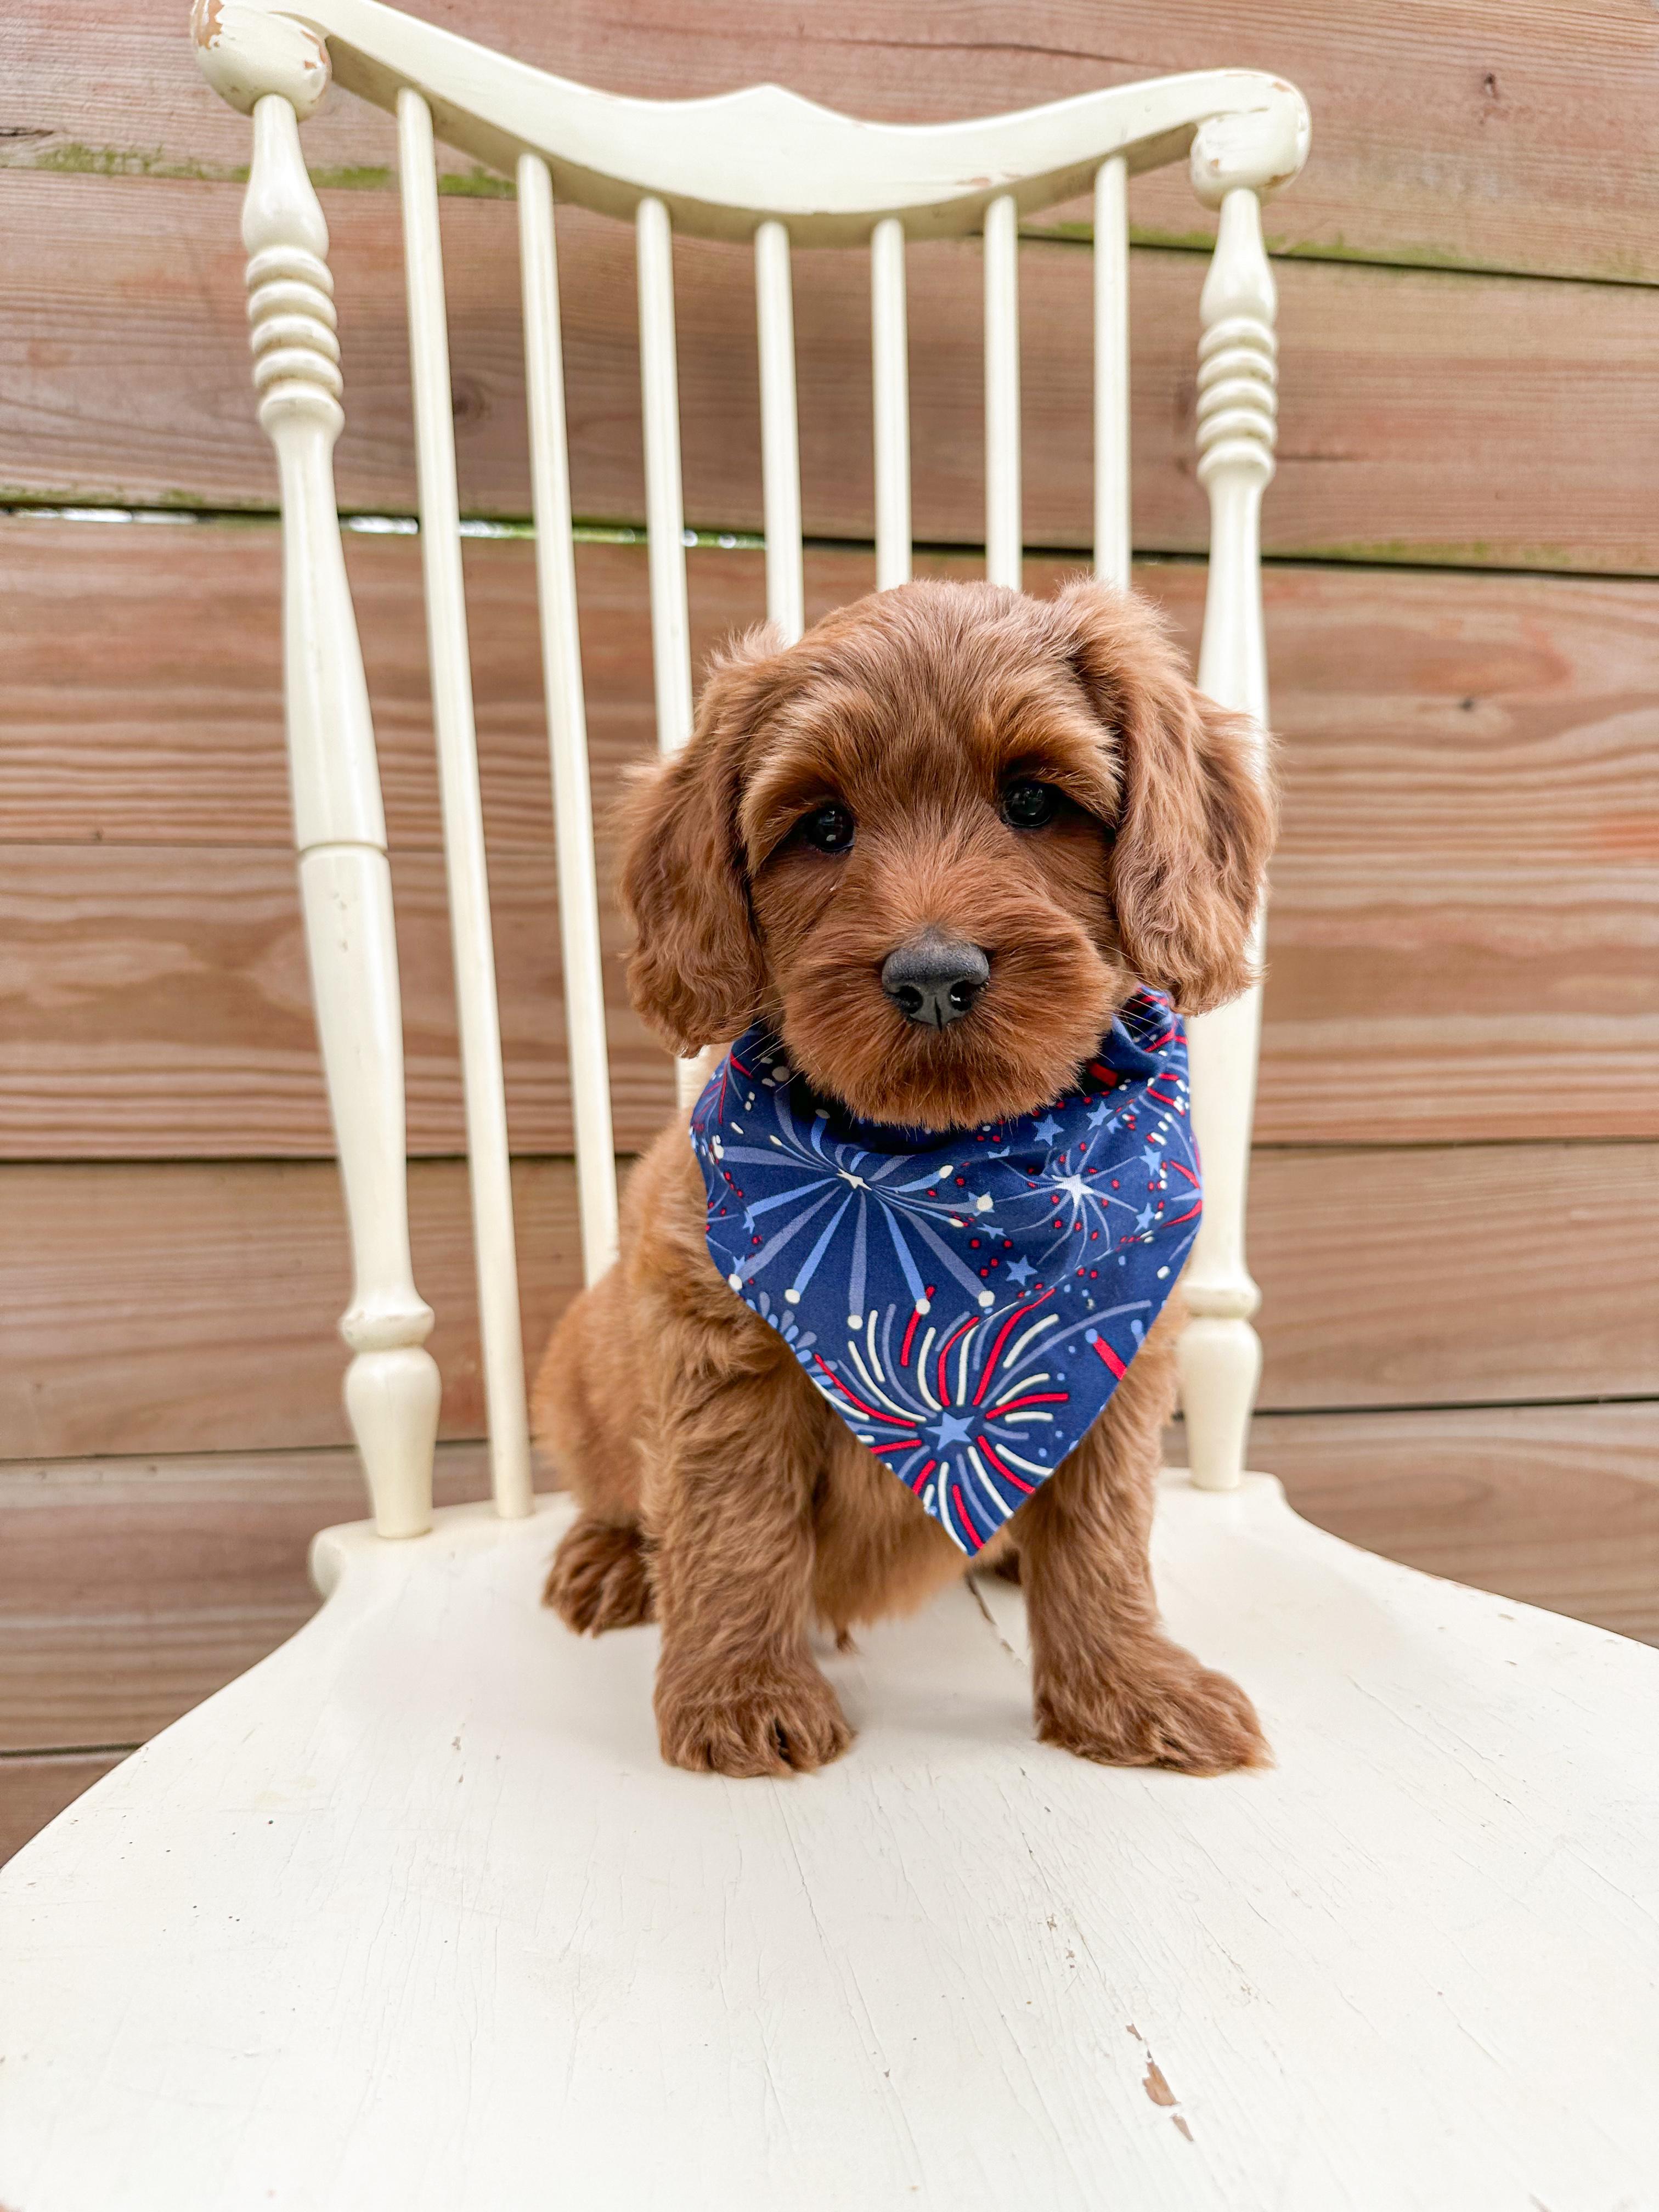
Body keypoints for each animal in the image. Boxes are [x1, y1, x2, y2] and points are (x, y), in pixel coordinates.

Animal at [532, 577, 1275, 1780]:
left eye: (1033, 800)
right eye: (823, 827)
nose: (933, 978)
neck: (936, 1187)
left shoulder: (1114, 1357)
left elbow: (1103, 1534)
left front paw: (1126, 1688)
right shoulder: (715, 1351)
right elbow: (732, 1524)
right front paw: (741, 1696)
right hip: (579, 1374)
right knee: (619, 1491)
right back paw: (610, 1557)